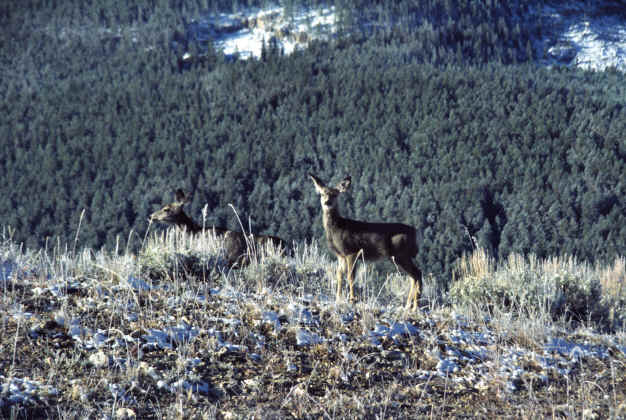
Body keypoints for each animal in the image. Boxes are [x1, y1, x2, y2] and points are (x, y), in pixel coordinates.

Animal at [310, 174, 422, 312]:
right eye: (322, 194)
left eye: (335, 194)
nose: (327, 202)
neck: (338, 228)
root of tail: (414, 231)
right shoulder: (340, 255)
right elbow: (339, 275)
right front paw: (338, 299)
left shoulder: (352, 251)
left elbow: (351, 276)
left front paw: (352, 300)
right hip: (399, 257)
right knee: (413, 276)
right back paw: (408, 305)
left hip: (401, 255)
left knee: (417, 273)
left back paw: (415, 306)